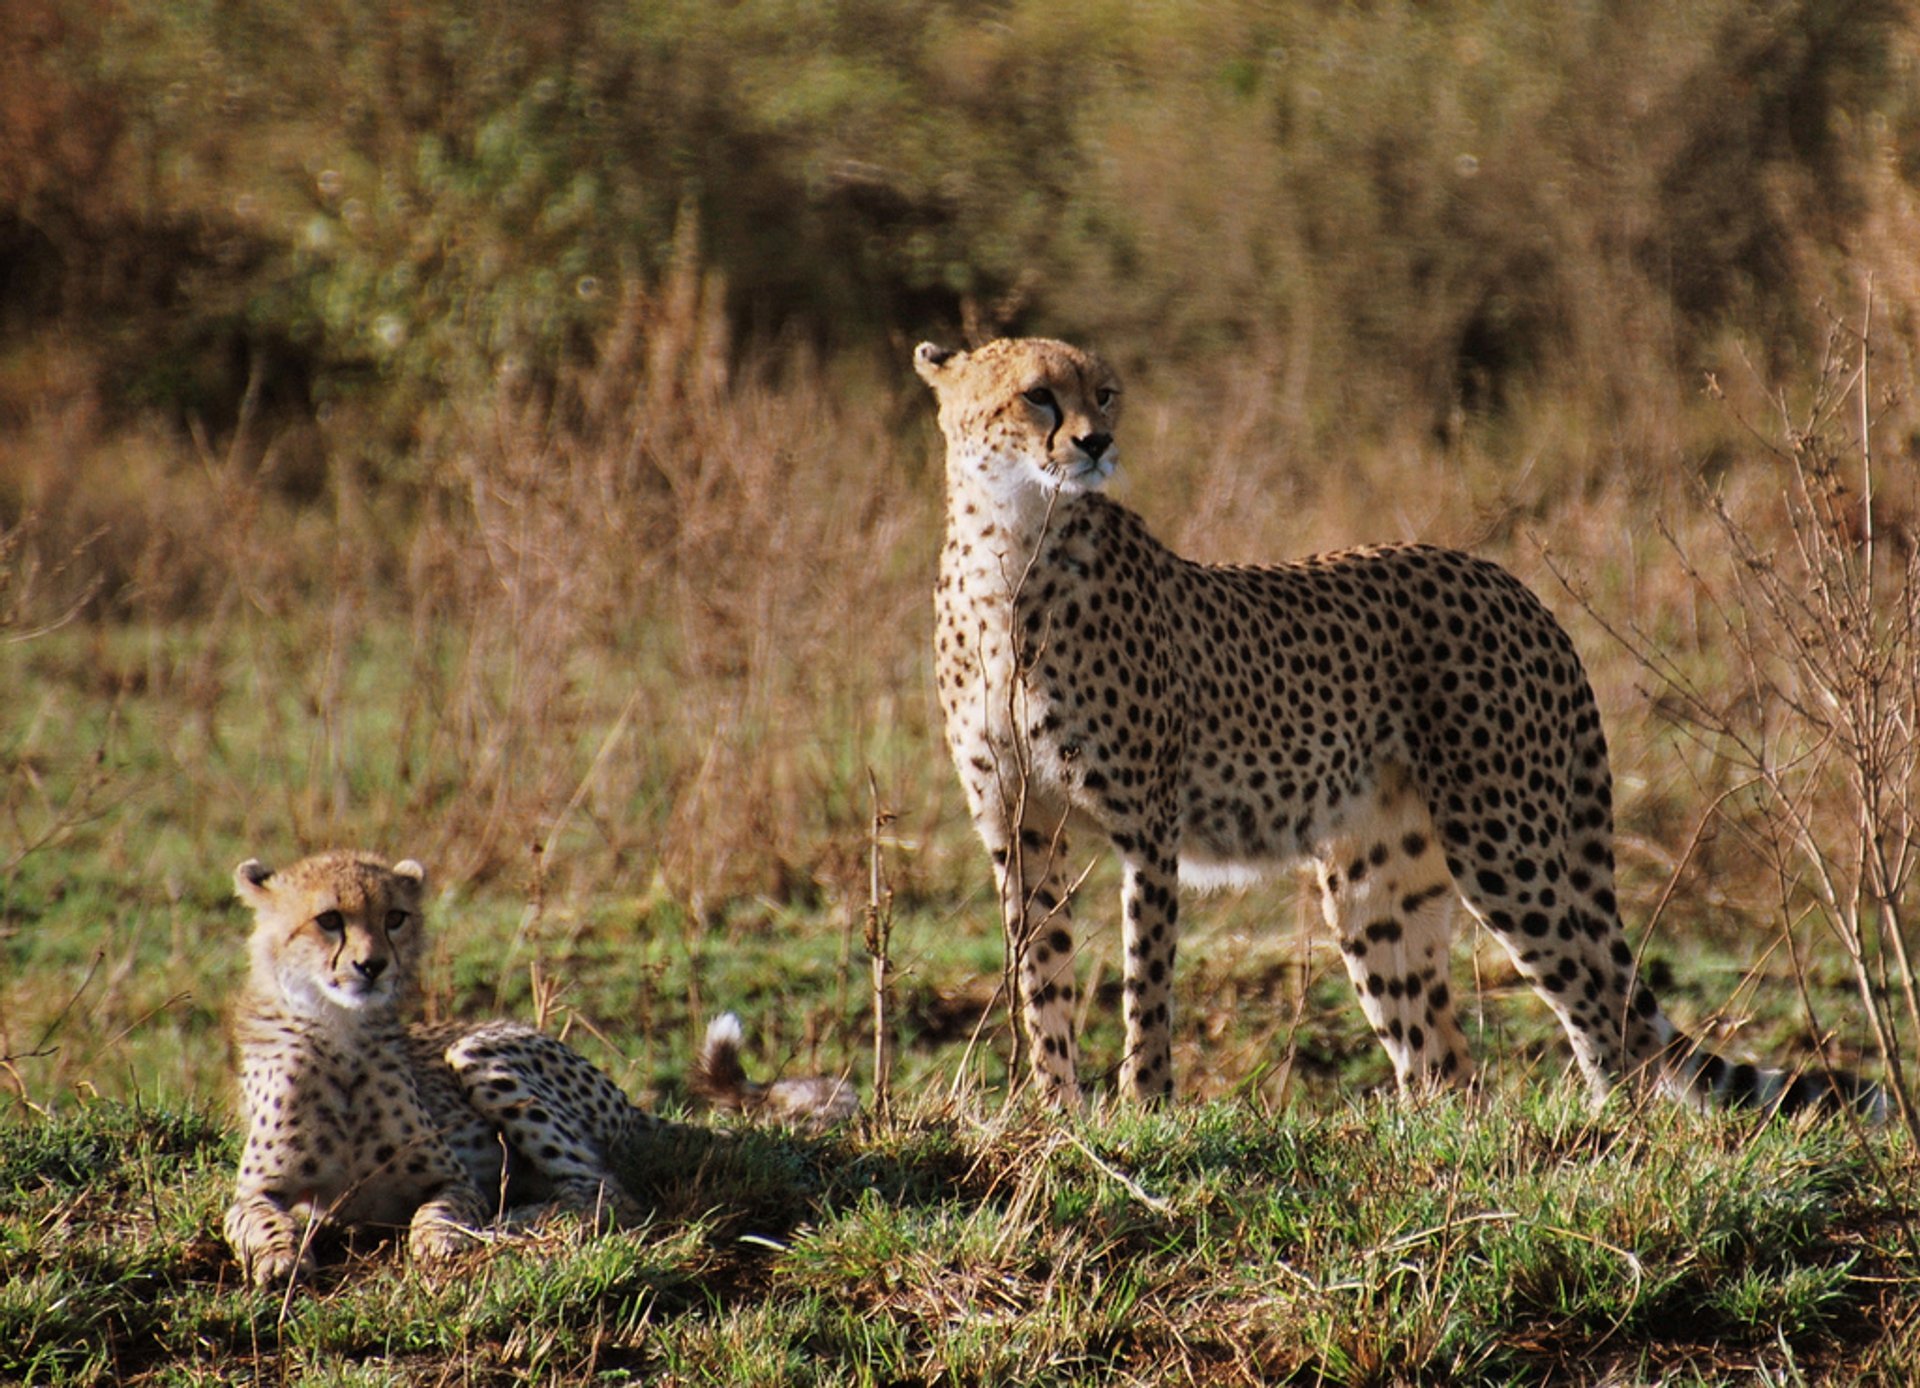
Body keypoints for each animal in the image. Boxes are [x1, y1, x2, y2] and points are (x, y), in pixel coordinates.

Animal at [224, 852, 652, 1290]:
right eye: (329, 919)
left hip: (473, 1050)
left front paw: (441, 1239)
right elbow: (259, 1219)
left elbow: (442, 1209)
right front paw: (279, 1259)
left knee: (605, 1191)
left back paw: (515, 1219)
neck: (341, 1032)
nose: (372, 965)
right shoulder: (254, 1193)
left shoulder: (455, 1178)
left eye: (395, 917)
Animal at [913, 335, 1873, 1121]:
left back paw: (1610, 1131)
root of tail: (1512, 585)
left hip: (1502, 846)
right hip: (1378, 879)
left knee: (1597, 1001)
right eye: (1038, 395)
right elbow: (1040, 974)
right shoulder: (1017, 822)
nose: (1096, 444)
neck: (1012, 545)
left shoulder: (1148, 824)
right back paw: (1441, 1140)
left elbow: (1146, 978)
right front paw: (1056, 1111)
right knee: (1443, 1058)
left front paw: (1145, 1106)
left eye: (1105, 394)